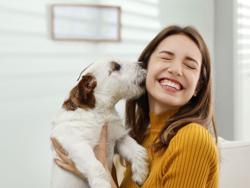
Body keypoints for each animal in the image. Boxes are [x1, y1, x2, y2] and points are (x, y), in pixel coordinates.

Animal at [50, 59, 148, 188]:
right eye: (117, 66)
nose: (142, 64)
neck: (100, 113)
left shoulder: (118, 139)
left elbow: (137, 150)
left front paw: (140, 173)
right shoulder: (76, 143)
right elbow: (96, 166)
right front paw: (102, 184)